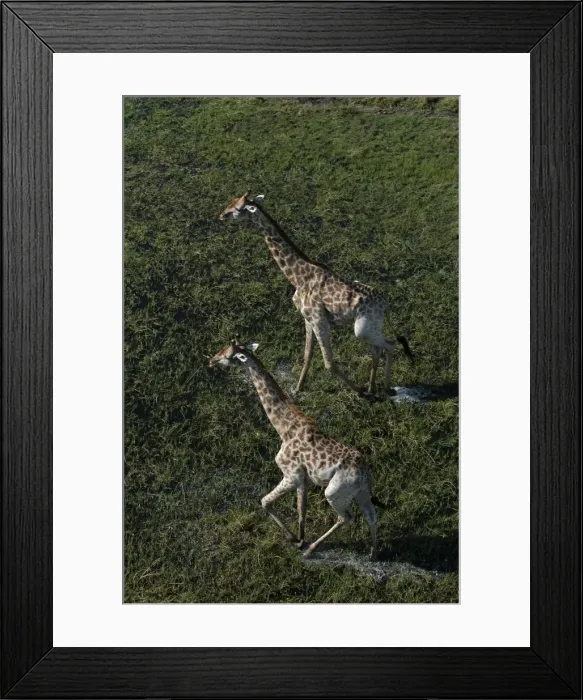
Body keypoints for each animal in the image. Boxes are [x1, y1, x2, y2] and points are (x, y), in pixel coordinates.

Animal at [208, 339, 385, 560]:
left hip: (334, 492)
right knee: (371, 515)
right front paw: (299, 538)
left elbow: (267, 502)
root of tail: (364, 474)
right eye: (222, 350)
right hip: (360, 492)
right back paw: (373, 553)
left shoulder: (292, 475)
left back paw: (312, 549)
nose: (211, 360)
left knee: (346, 517)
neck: (284, 429)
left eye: (227, 356)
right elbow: (300, 509)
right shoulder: (304, 479)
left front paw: (296, 540)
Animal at [219, 193, 413, 400]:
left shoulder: (319, 320)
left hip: (362, 330)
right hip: (370, 328)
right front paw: (297, 388)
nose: (222, 215)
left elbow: (329, 363)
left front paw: (359, 392)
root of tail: (385, 303)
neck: (297, 278)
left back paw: (385, 389)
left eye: (238, 208)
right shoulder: (308, 318)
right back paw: (372, 386)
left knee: (390, 345)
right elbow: (307, 355)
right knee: (377, 350)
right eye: (232, 201)